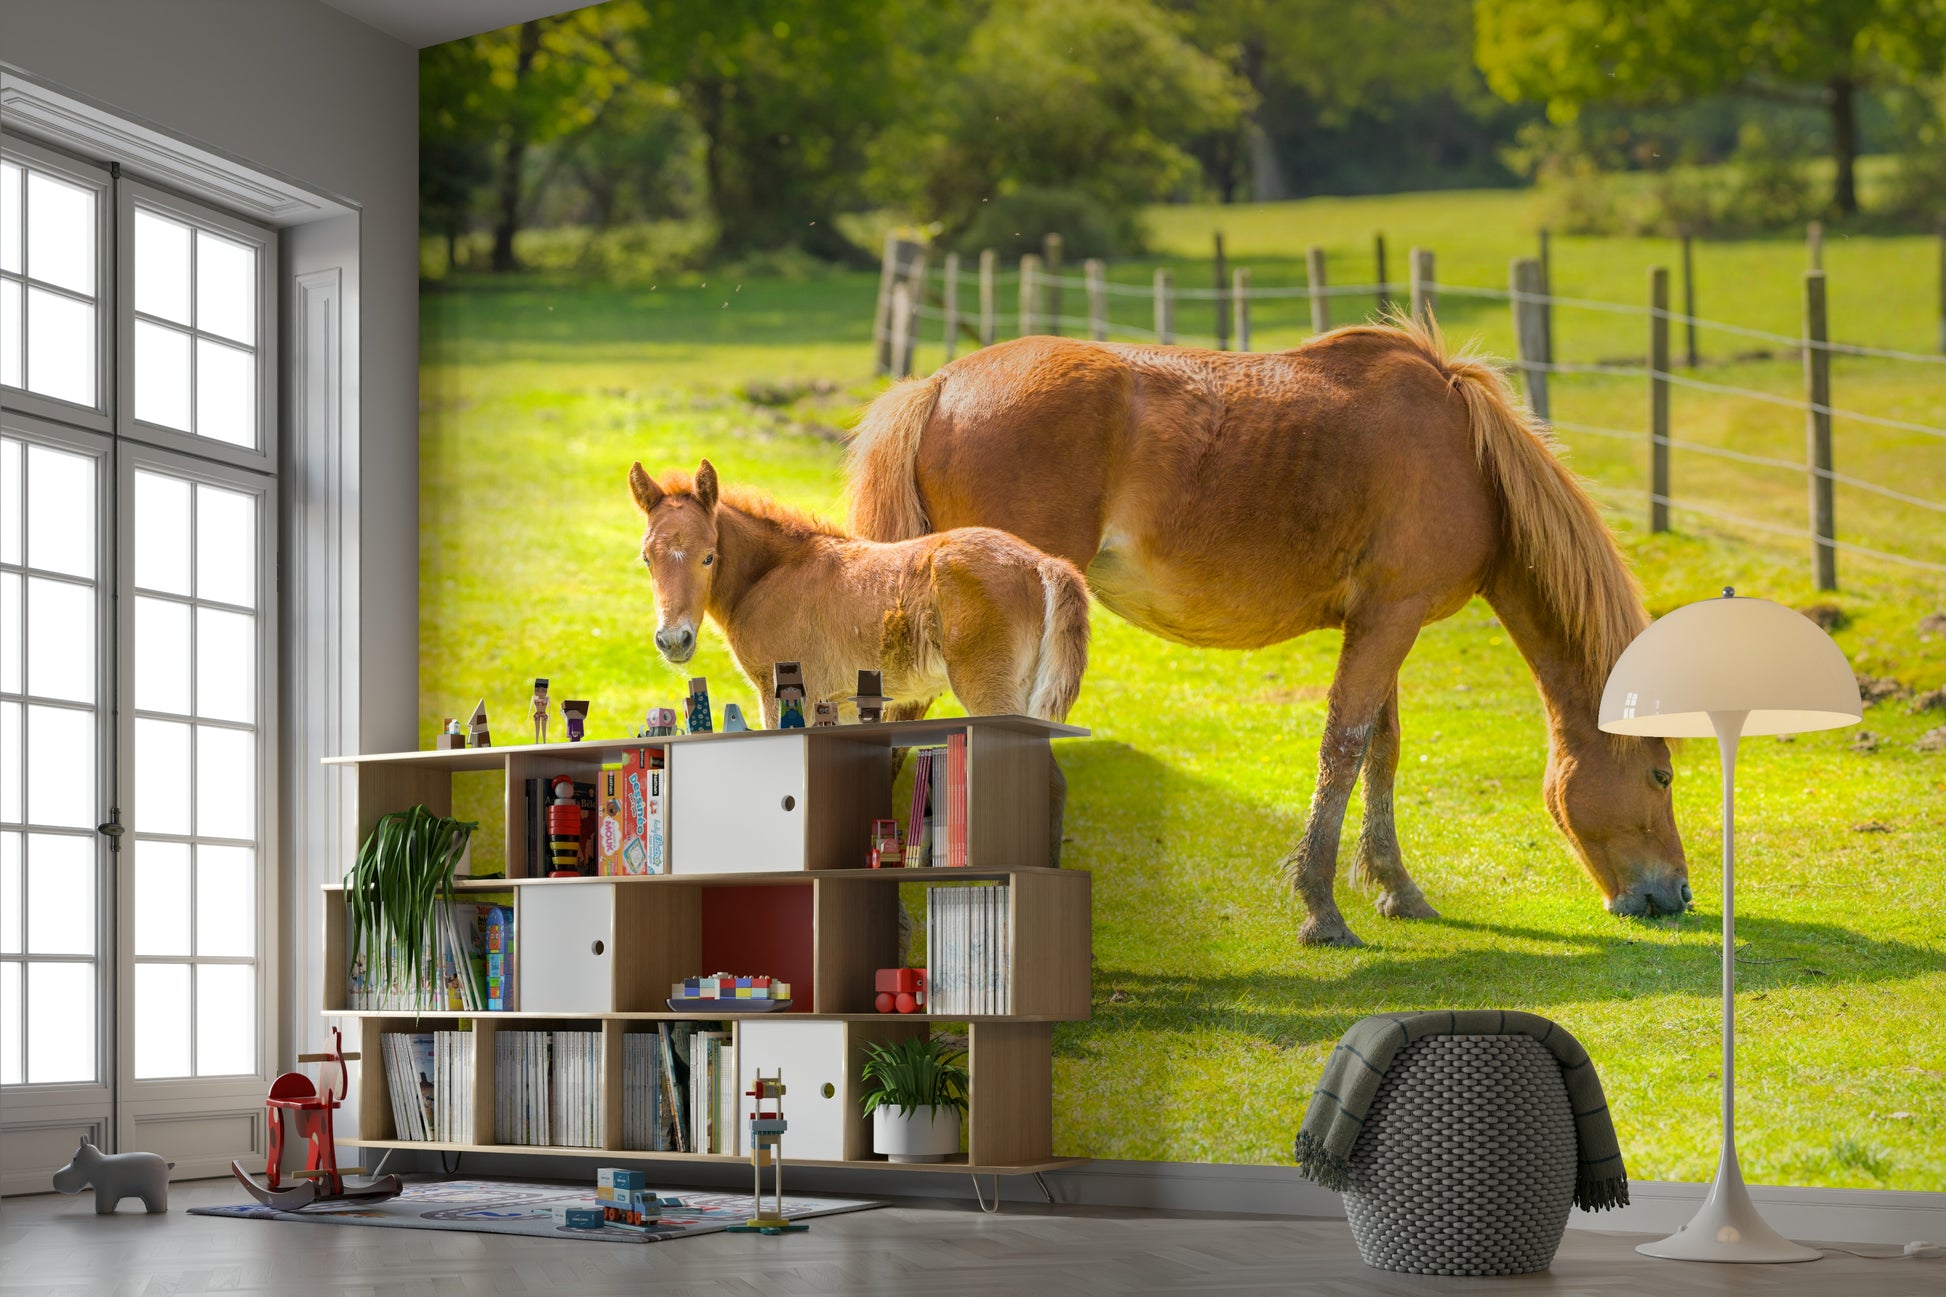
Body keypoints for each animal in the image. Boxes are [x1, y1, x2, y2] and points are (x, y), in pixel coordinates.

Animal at [628, 459, 1090, 863]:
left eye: (708, 556)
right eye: (647, 558)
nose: (674, 640)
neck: (772, 575)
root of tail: (1044, 564)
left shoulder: (782, 696)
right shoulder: (840, 703)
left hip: (990, 692)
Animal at [844, 318, 1690, 946]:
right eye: (1662, 775)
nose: (1676, 893)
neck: (1469, 455)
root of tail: (940, 386)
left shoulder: (1386, 619)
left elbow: (1381, 748)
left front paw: (1397, 888)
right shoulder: (1391, 618)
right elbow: (1344, 745)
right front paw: (1321, 907)